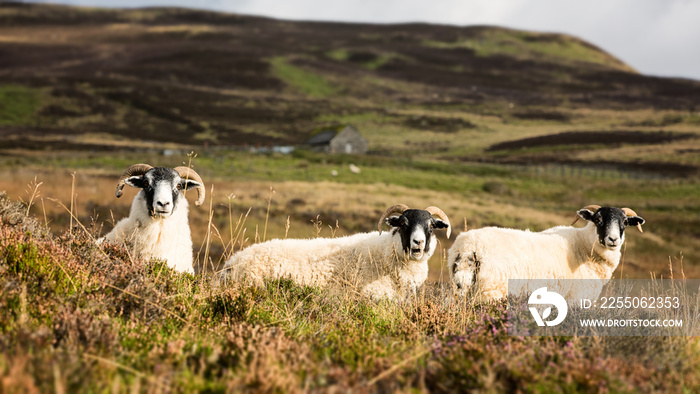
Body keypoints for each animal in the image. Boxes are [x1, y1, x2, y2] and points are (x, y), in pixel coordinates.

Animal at [448, 205, 644, 300]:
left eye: (625, 222)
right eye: (598, 220)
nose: (613, 239)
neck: (584, 247)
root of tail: (470, 246)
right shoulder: (577, 298)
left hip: (461, 287)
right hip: (491, 291)